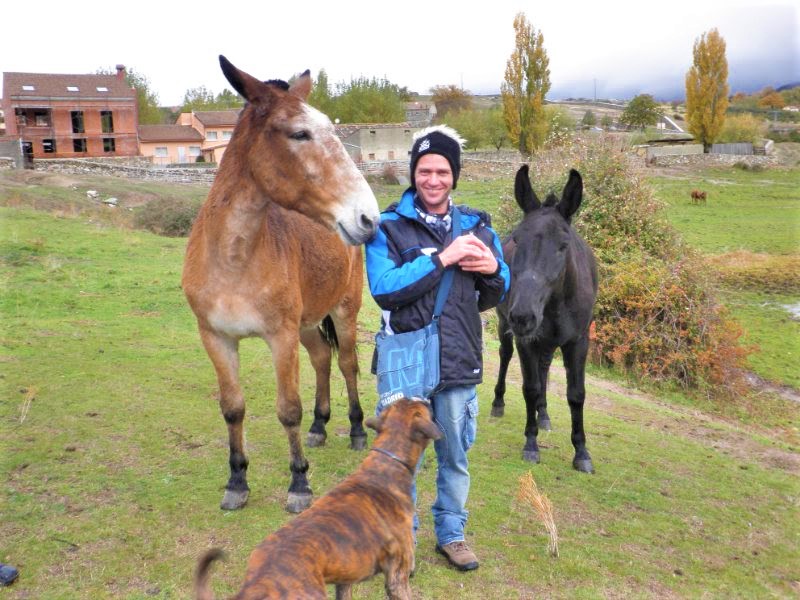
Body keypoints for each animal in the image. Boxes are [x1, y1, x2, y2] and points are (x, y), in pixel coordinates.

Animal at [182, 56, 382, 512]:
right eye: (299, 133)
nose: (368, 218)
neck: (234, 259)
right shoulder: (215, 338)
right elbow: (232, 408)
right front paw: (237, 480)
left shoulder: (281, 337)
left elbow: (288, 409)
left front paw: (299, 484)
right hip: (307, 324)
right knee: (322, 359)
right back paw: (320, 426)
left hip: (343, 312)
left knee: (346, 364)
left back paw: (356, 430)